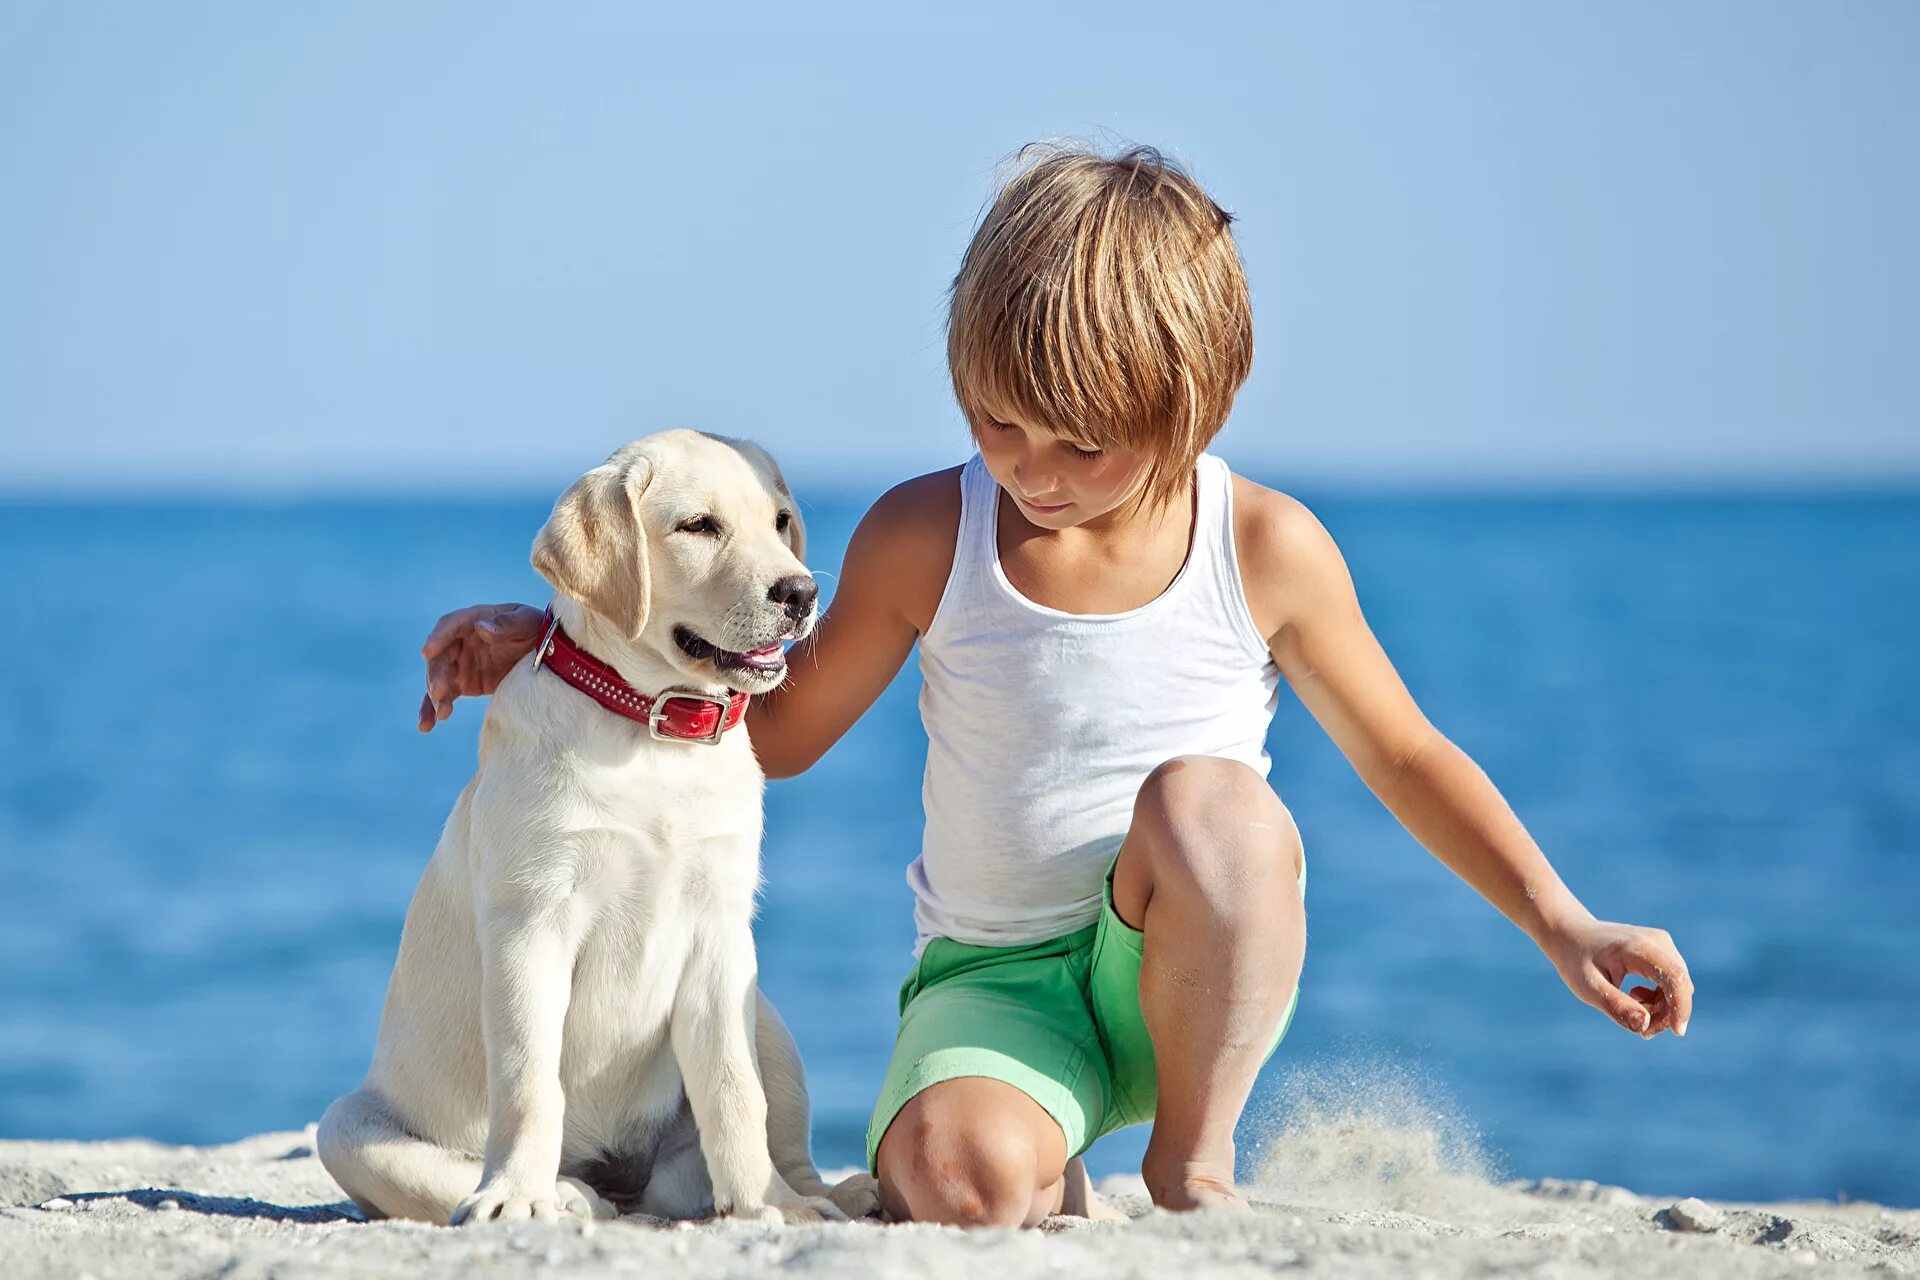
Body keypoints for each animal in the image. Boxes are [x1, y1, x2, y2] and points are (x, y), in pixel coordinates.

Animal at [318, 433, 875, 1228]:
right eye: (699, 526)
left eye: (780, 521)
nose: (800, 594)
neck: (652, 728)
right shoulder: (531, 926)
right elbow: (528, 1082)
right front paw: (517, 1193)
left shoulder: (720, 931)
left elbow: (735, 1092)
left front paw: (768, 1204)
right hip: (347, 1128)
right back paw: (567, 1192)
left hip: (765, 1014)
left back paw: (821, 1195)